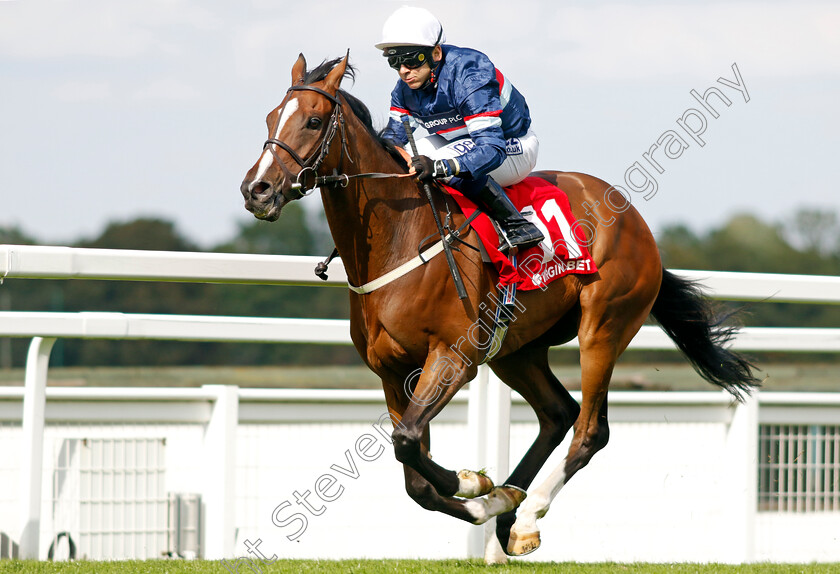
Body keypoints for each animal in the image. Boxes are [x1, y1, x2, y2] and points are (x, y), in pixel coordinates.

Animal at [238, 55, 760, 560]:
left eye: (313, 120)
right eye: (269, 117)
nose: (256, 189)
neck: (399, 238)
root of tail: (637, 221)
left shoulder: (453, 358)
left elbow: (408, 445)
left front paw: (478, 484)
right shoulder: (392, 371)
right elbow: (413, 474)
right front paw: (488, 494)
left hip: (603, 328)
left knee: (590, 429)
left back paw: (526, 514)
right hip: (516, 350)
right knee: (558, 413)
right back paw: (511, 511)